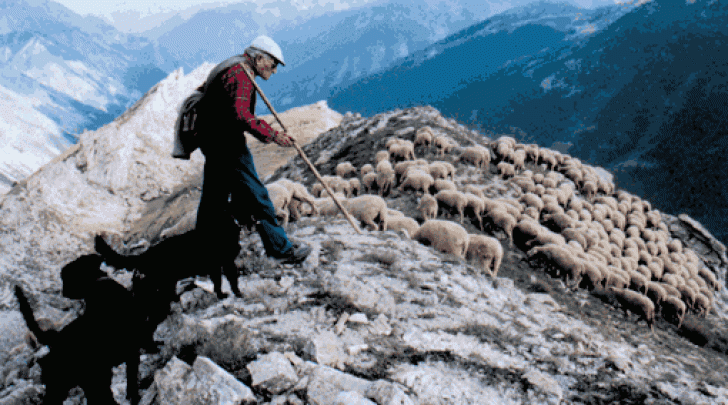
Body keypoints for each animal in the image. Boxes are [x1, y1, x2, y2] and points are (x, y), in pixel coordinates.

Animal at [14, 254, 141, 402]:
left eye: (66, 276)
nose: (63, 292)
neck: (95, 282)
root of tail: (55, 339)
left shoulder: (131, 353)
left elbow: (131, 379)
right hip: (70, 380)